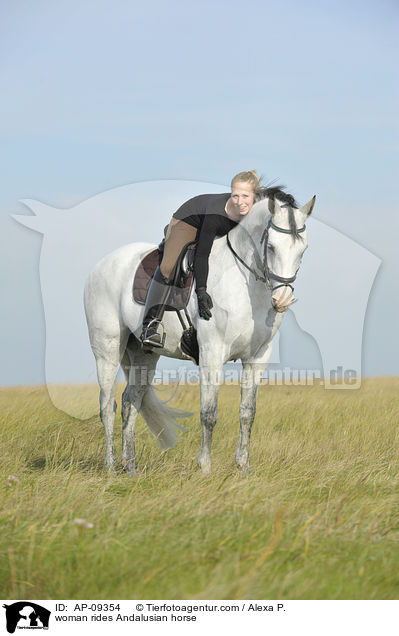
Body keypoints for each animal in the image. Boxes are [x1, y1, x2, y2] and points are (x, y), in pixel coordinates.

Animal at [83, 191, 316, 474]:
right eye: (270, 246)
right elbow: (209, 413)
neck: (246, 286)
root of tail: (101, 265)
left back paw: (131, 468)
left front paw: (243, 467)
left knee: (130, 403)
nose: (282, 300)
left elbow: (247, 413)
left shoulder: (257, 358)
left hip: (142, 354)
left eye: (303, 250)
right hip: (106, 348)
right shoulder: (212, 352)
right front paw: (205, 467)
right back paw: (110, 466)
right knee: (107, 405)